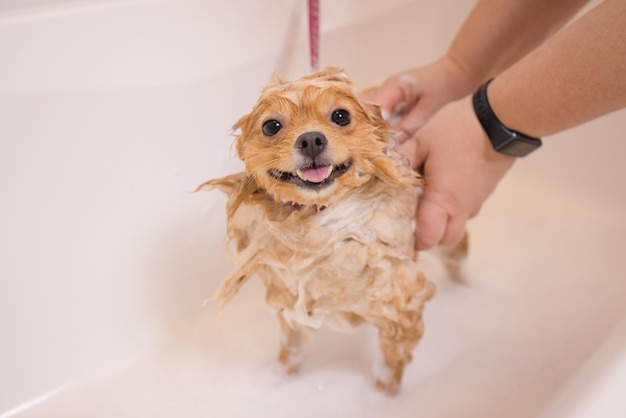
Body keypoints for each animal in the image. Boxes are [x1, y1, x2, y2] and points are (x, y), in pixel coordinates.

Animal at [197, 67, 466, 394]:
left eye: (340, 116)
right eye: (271, 126)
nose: (311, 139)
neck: (318, 217)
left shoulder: (399, 305)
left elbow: (389, 366)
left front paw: (384, 395)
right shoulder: (286, 296)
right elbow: (290, 348)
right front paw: (282, 376)